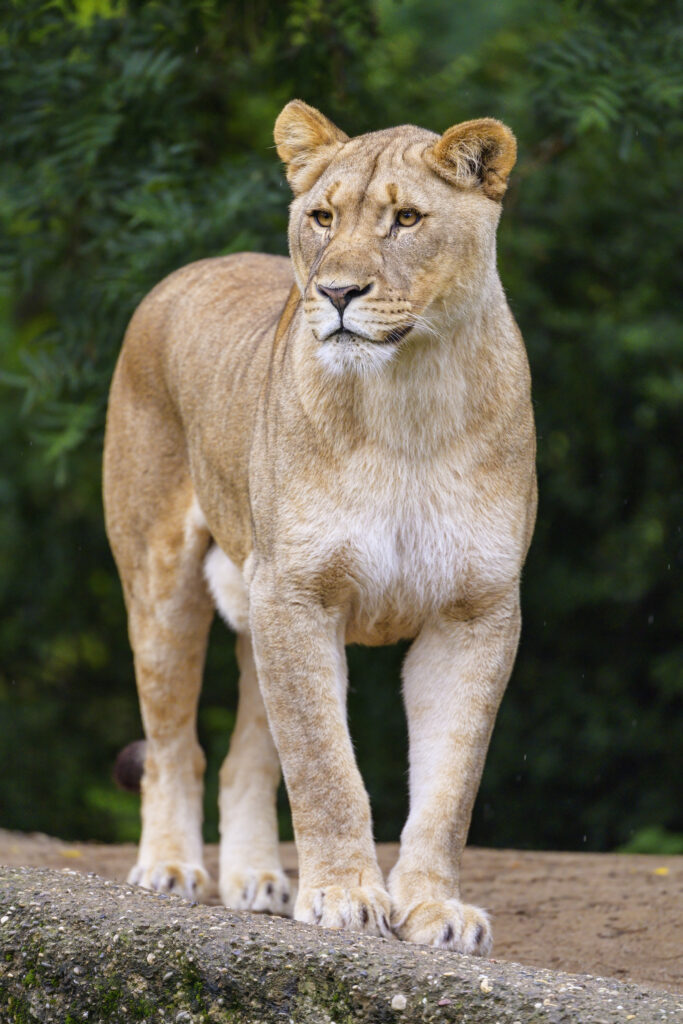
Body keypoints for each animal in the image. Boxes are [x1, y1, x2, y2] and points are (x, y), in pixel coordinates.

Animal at [103, 100, 536, 954]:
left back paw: (255, 881)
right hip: (163, 586)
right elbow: (323, 766)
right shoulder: (297, 593)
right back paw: (170, 869)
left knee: (240, 761)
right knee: (175, 746)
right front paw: (342, 896)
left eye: (407, 219)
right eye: (322, 218)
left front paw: (433, 909)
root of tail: (184, 272)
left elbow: (449, 784)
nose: (336, 292)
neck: (410, 396)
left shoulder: (475, 611)